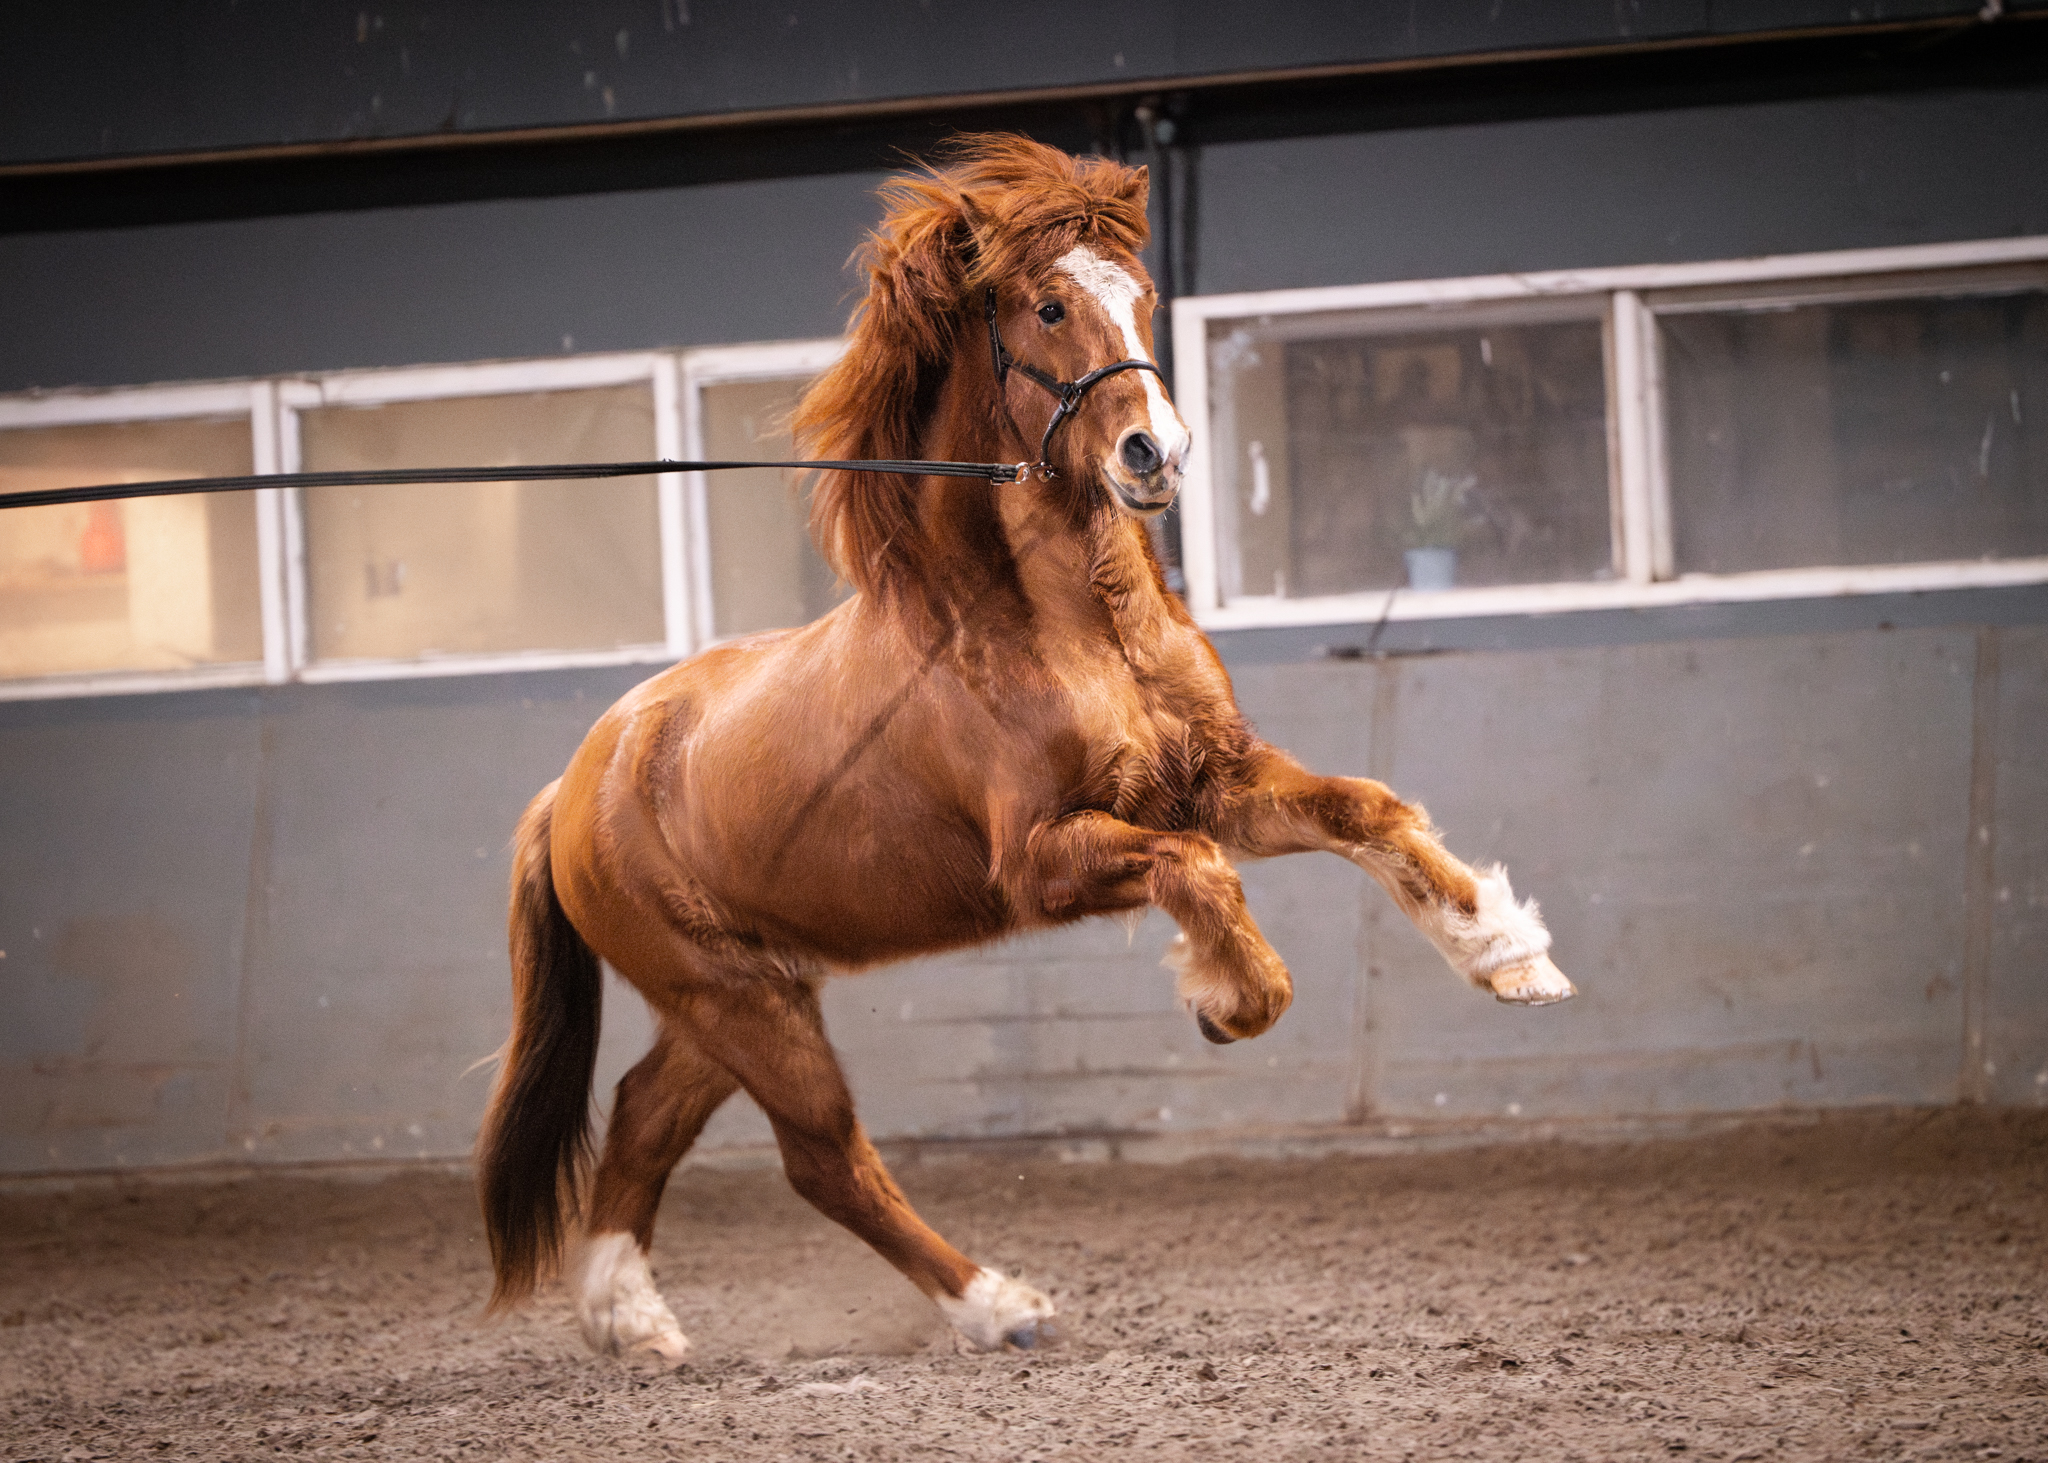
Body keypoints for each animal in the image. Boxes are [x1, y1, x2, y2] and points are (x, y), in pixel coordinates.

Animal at [475, 134, 1573, 1363]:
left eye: (1142, 293)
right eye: (1048, 305)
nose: (1155, 452)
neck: (1062, 621)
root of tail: (572, 784)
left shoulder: (1214, 781)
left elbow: (1365, 809)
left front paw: (1509, 957)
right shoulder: (1044, 860)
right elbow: (1201, 875)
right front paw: (1224, 1000)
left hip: (743, 991)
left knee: (641, 1115)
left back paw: (633, 1321)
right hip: (735, 1000)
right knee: (823, 1158)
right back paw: (998, 1305)